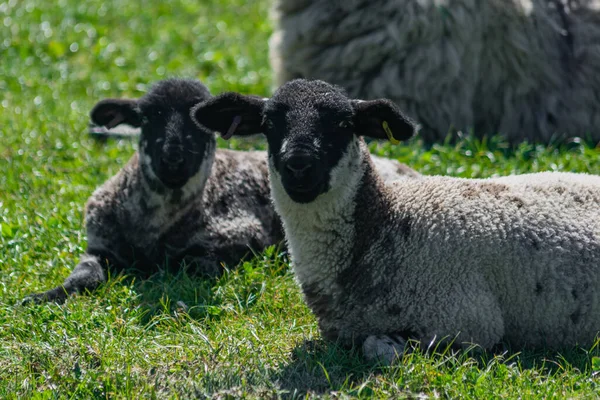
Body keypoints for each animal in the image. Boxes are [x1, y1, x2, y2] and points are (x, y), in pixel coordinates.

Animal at [22, 78, 418, 304]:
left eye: (200, 126)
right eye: (146, 118)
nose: (174, 157)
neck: (154, 222)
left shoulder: (237, 235)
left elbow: (190, 265)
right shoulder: (100, 245)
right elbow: (84, 276)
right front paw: (43, 296)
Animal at [191, 79, 600, 366]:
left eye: (343, 123)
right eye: (269, 123)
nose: (299, 165)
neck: (387, 224)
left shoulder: (466, 320)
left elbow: (377, 347)